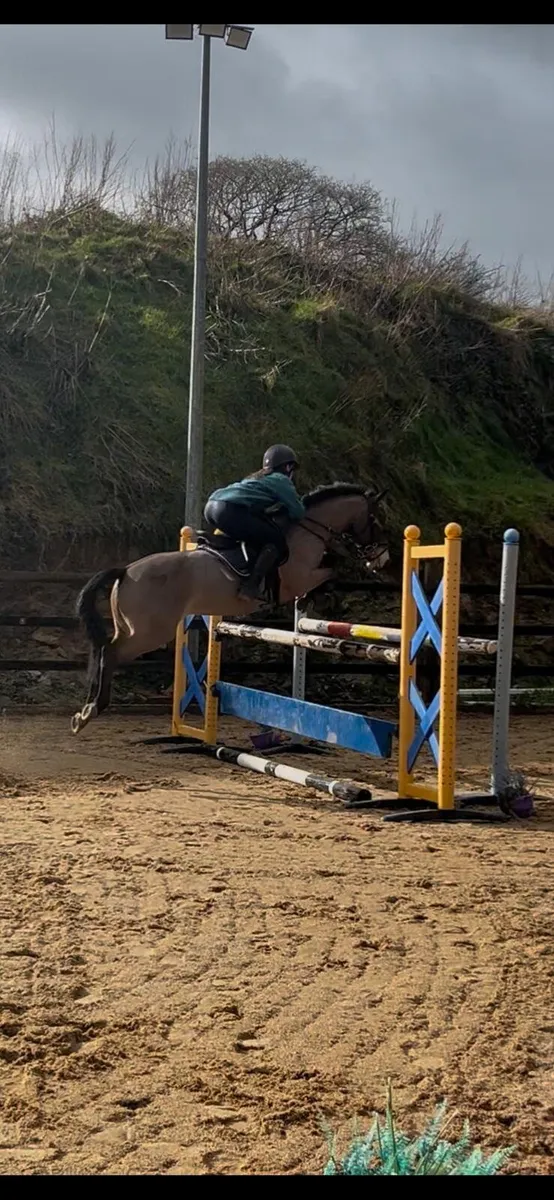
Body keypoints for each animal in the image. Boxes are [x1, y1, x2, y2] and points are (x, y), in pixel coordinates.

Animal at [71, 482, 389, 735]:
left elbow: (330, 570)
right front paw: (320, 597)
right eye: (374, 519)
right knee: (110, 652)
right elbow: (332, 571)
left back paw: (86, 709)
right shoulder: (299, 577)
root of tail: (125, 570)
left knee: (104, 649)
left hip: (131, 627)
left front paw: (316, 599)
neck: (307, 529)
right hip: (150, 633)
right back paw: (92, 710)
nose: (381, 560)